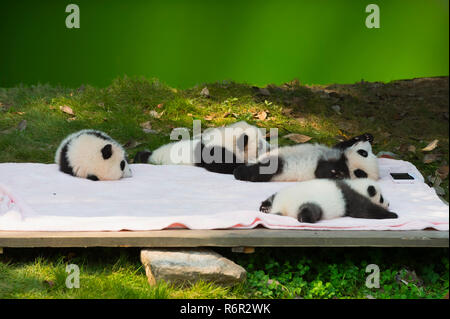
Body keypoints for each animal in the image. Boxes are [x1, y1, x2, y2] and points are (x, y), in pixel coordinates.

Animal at [234, 133, 378, 182]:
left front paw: (337, 174)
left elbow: (321, 172)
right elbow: (340, 145)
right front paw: (366, 136)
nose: (367, 142)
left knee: (261, 171)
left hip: (279, 168)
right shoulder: (336, 151)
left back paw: (240, 171)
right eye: (364, 153)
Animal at [258, 179, 396, 224]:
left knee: (272, 196)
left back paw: (264, 207)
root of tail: (281, 207)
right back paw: (305, 218)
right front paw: (392, 215)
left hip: (281, 194)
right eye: (381, 198)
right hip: (309, 202)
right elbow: (366, 210)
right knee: (310, 210)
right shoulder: (351, 198)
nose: (389, 203)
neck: (355, 185)